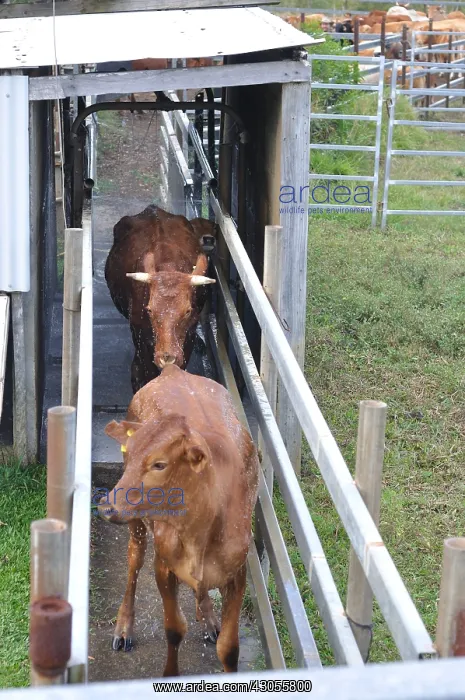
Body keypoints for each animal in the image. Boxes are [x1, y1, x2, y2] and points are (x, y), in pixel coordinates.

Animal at [97, 364, 259, 676]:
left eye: (160, 464)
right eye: (128, 453)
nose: (107, 506)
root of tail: (173, 370)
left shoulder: (238, 574)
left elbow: (229, 648)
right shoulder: (164, 565)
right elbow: (174, 629)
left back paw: (207, 616)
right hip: (137, 526)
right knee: (134, 561)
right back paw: (123, 627)